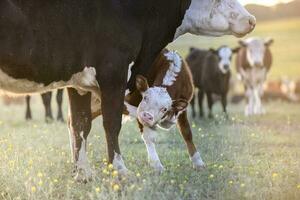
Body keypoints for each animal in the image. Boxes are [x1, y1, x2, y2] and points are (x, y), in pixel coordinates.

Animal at [0, 0, 255, 180]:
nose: (251, 19)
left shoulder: (79, 82)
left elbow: (82, 124)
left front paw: (83, 173)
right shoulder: (114, 72)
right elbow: (112, 124)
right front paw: (120, 169)